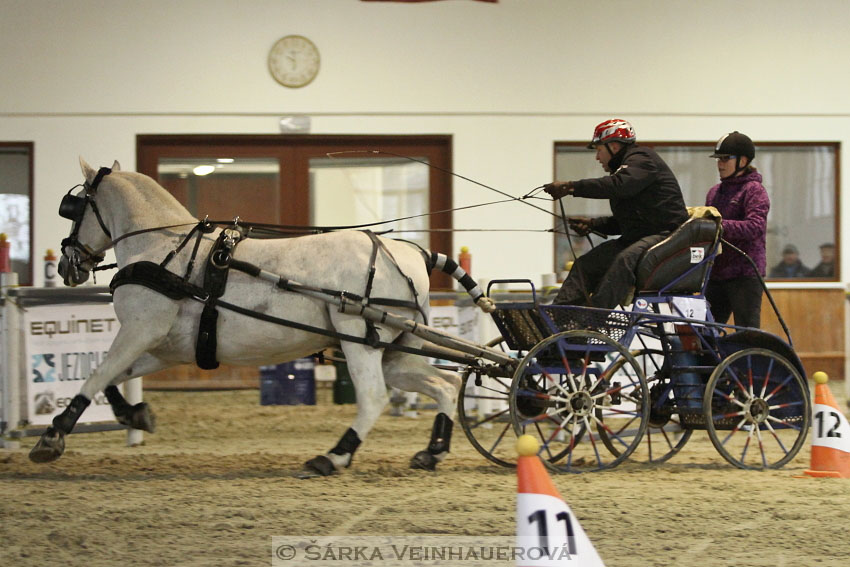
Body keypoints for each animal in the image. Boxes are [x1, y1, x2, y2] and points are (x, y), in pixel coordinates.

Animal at [31, 159, 490, 474]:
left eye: (73, 208)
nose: (67, 266)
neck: (163, 250)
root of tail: (411, 252)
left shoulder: (140, 331)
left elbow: (95, 377)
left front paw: (52, 436)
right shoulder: (162, 348)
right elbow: (111, 380)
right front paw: (136, 415)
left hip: (357, 337)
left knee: (375, 396)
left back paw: (333, 456)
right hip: (394, 349)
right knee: (445, 384)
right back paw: (432, 452)